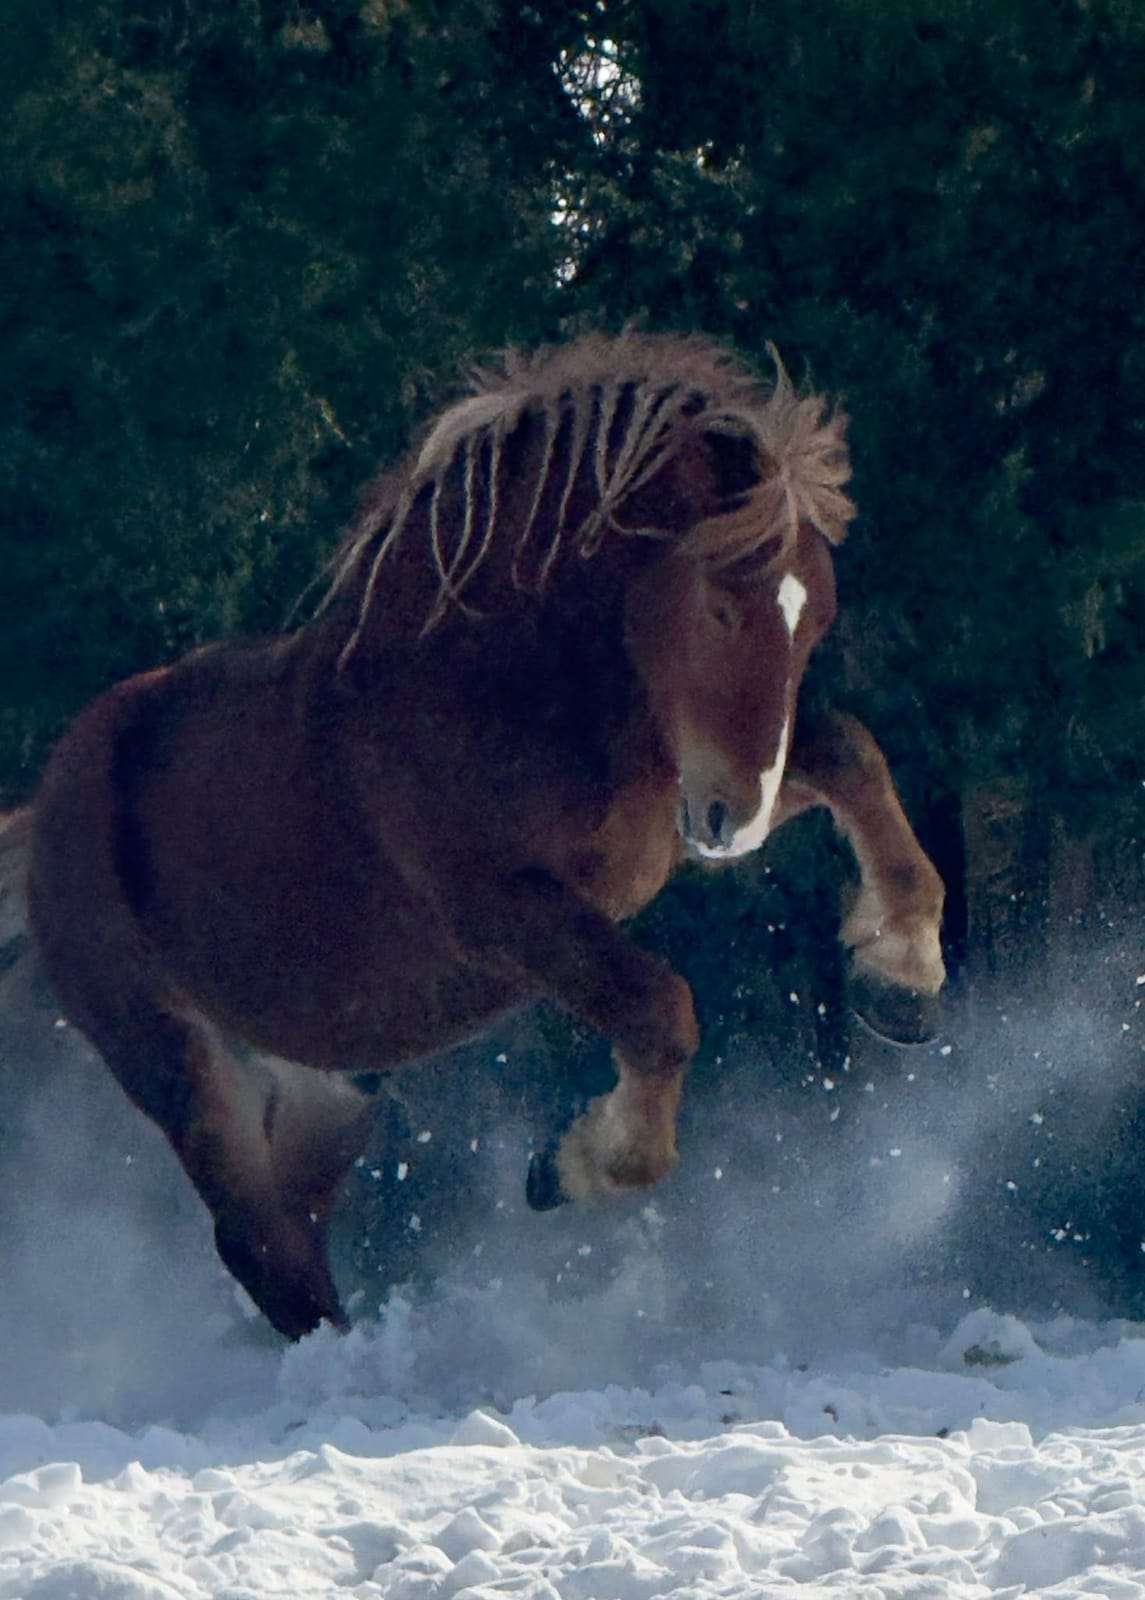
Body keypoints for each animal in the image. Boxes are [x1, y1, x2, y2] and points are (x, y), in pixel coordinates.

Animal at [25, 332, 945, 1340]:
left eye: (813, 615)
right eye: (719, 605)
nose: (733, 824)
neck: (506, 689)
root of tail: (43, 814)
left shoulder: (668, 818)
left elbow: (849, 755)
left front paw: (901, 978)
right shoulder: (503, 912)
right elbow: (659, 1009)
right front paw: (571, 1166)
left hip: (326, 1080)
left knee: (291, 1219)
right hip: (172, 1054)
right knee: (256, 1241)